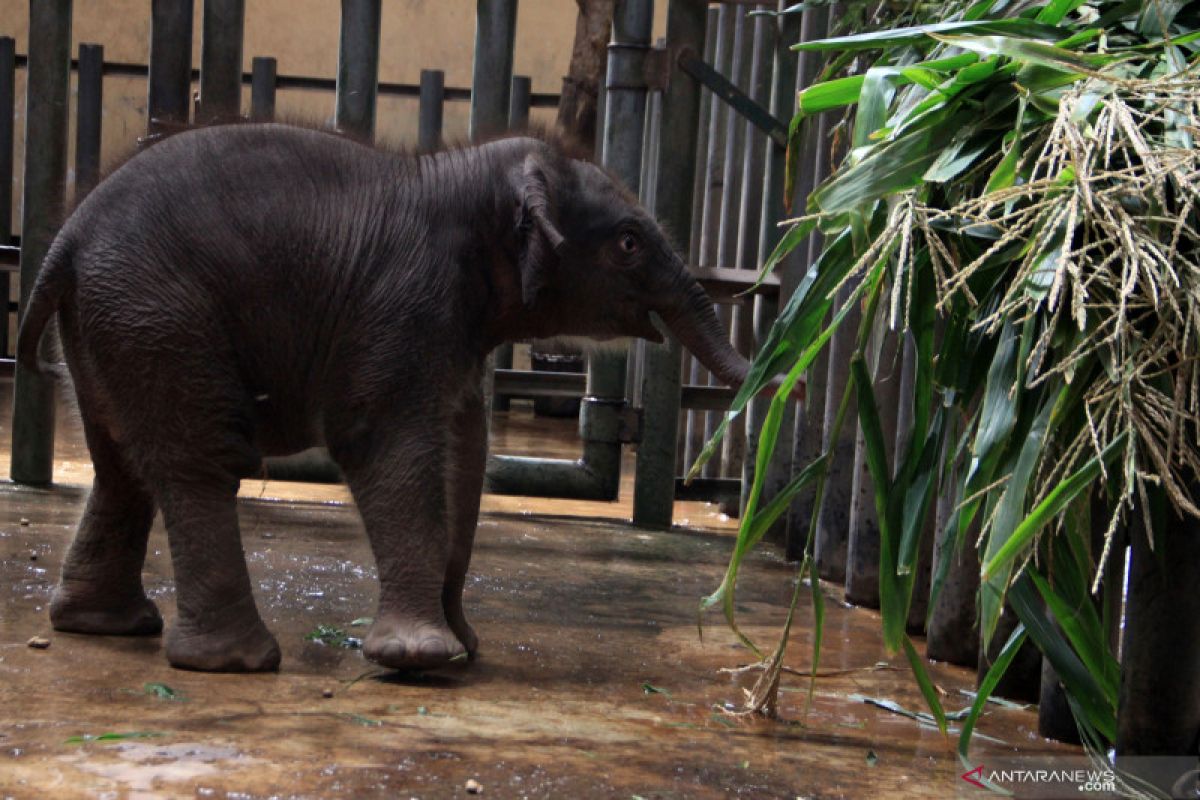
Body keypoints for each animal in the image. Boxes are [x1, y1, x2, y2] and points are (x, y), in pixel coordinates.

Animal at [18, 125, 753, 671]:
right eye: (628, 242)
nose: (774, 374)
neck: (464, 176)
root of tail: (64, 242)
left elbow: (465, 454)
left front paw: (462, 650)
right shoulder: (404, 305)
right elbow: (387, 446)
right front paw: (419, 659)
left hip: (112, 324)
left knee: (121, 466)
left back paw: (105, 625)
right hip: (159, 317)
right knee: (200, 463)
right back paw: (238, 662)